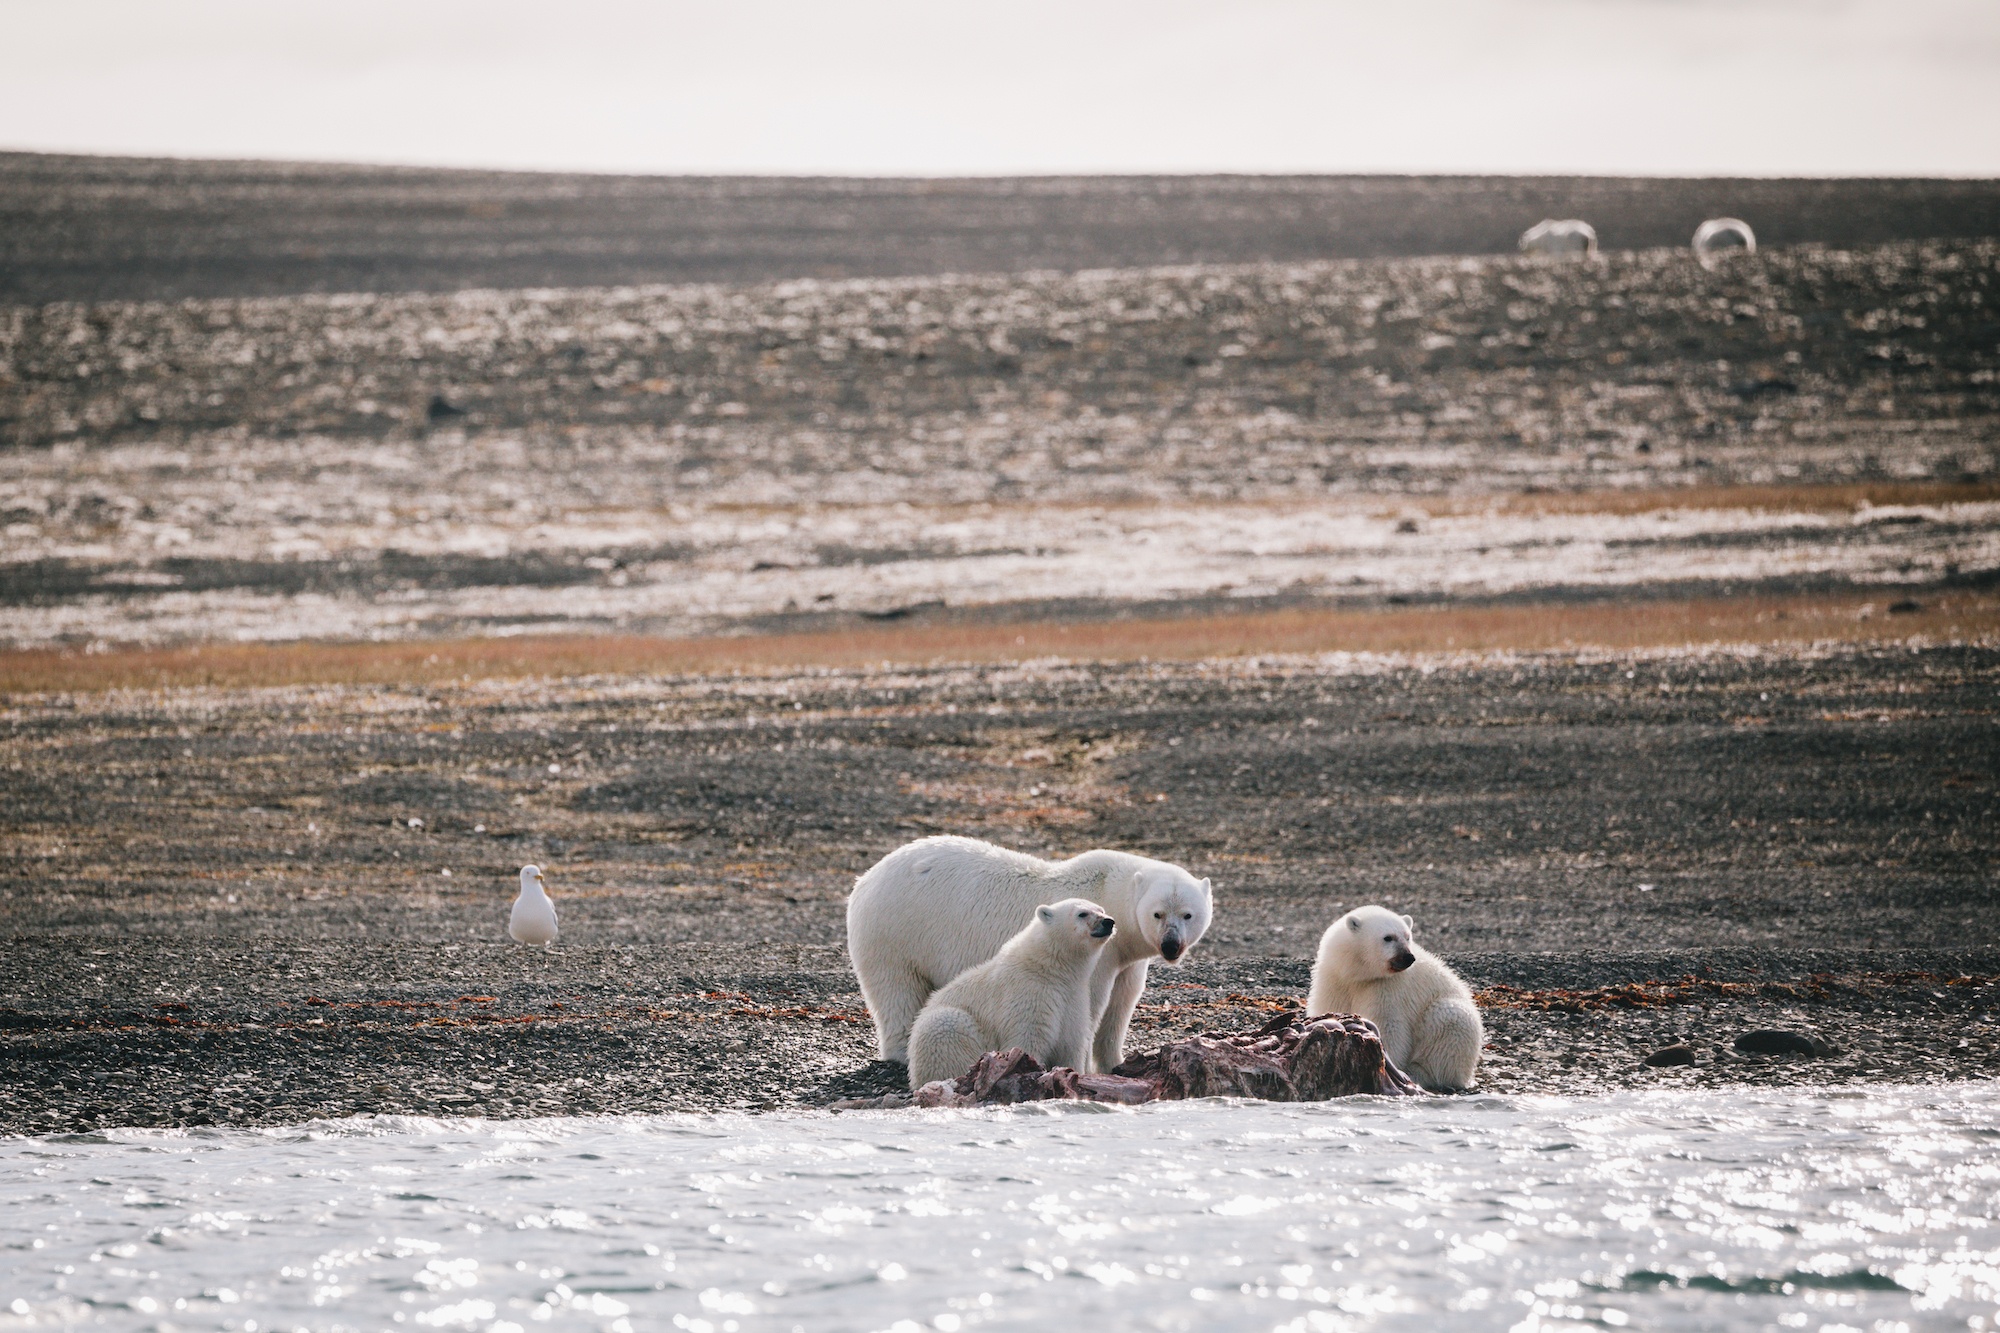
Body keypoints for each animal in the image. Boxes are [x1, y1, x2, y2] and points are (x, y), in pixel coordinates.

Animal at [906, 898, 1116, 1090]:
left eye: (1101, 909)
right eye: (1082, 913)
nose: (1109, 921)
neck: (1049, 969)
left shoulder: (1073, 998)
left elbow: (1071, 1043)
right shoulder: (1027, 994)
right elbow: (1027, 1038)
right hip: (944, 1031)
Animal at [1306, 904, 1482, 1092]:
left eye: (1407, 936)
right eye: (1388, 937)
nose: (1408, 957)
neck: (1359, 975)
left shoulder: (1387, 987)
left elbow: (1388, 1024)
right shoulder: (1334, 978)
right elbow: (1330, 1005)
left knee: (1448, 1024)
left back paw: (1418, 1073)